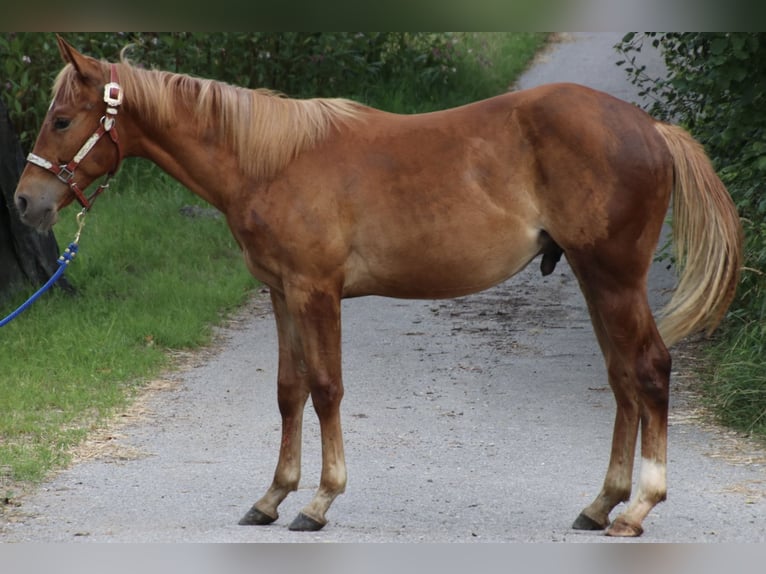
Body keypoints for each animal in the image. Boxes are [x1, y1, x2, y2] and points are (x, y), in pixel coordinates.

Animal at [13, 37, 744, 540]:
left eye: (62, 120)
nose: (24, 202)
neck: (269, 161)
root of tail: (651, 128)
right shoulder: (281, 295)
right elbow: (289, 391)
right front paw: (272, 497)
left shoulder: (316, 292)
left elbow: (326, 390)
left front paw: (318, 502)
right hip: (596, 281)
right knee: (622, 379)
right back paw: (601, 503)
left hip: (614, 279)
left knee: (649, 370)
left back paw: (639, 507)